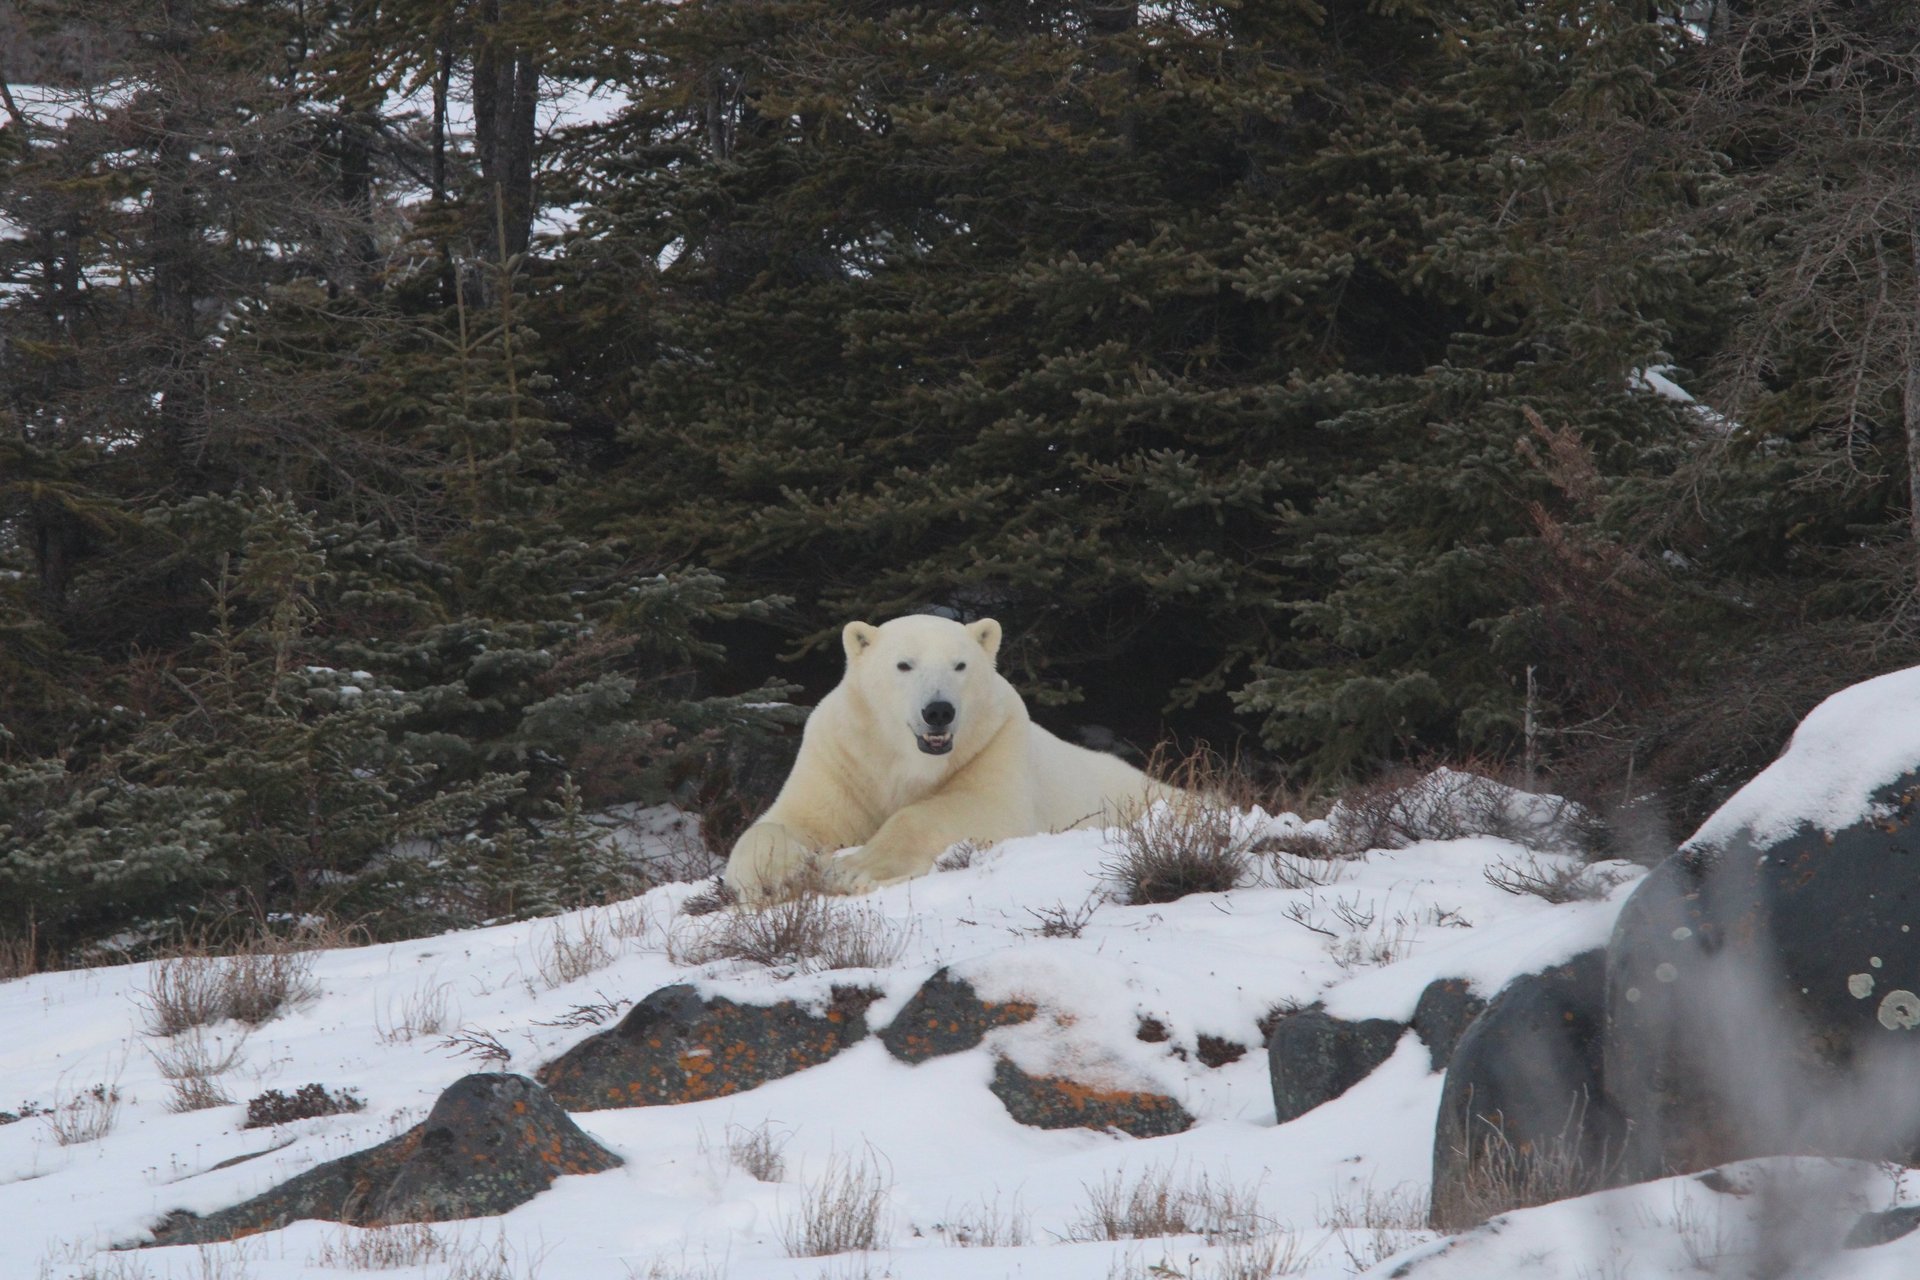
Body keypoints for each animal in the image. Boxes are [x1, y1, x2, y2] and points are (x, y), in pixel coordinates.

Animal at [723, 614, 1172, 899]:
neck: (907, 758)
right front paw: (775, 877)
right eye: (904, 664)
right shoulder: (842, 757)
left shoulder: (995, 742)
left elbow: (979, 808)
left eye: (960, 665)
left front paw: (854, 869)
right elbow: (794, 820)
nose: (938, 711)